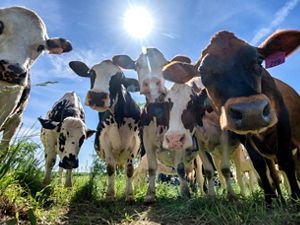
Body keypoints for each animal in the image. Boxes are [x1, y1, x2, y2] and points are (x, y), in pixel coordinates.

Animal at [69, 59, 141, 201]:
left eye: (119, 77)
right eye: (91, 73)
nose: (97, 95)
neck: (119, 119)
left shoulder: (136, 140)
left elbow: (130, 169)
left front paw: (130, 195)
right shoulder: (105, 139)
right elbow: (110, 168)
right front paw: (110, 195)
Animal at [112, 48, 204, 203]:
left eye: (164, 64)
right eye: (137, 65)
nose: (151, 81)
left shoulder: (179, 140)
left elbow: (180, 168)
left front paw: (185, 193)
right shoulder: (148, 142)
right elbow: (152, 168)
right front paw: (150, 194)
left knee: (199, 175)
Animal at [162, 29, 300, 204]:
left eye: (259, 61)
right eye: (202, 71)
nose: (251, 111)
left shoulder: (282, 118)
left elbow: (286, 159)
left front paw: (295, 198)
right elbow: (257, 163)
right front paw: (269, 200)